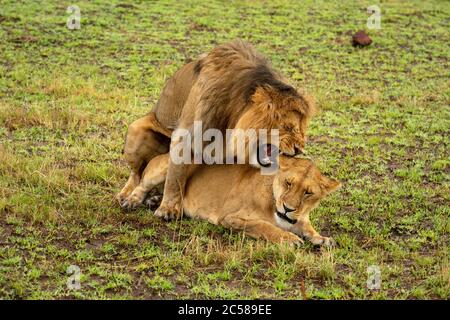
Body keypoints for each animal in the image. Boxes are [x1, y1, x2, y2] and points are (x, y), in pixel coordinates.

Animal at [118, 40, 314, 220]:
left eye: (301, 130)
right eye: (288, 127)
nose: (299, 150)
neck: (234, 115)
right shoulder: (187, 134)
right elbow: (176, 175)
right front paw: (168, 209)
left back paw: (153, 198)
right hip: (136, 130)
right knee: (138, 173)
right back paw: (128, 197)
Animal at [123, 154, 342, 246]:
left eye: (308, 193)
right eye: (288, 183)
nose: (288, 208)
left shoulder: (300, 218)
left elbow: (307, 227)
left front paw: (322, 238)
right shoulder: (230, 218)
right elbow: (264, 226)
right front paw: (289, 239)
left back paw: (155, 201)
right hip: (164, 170)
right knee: (141, 185)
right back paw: (131, 201)